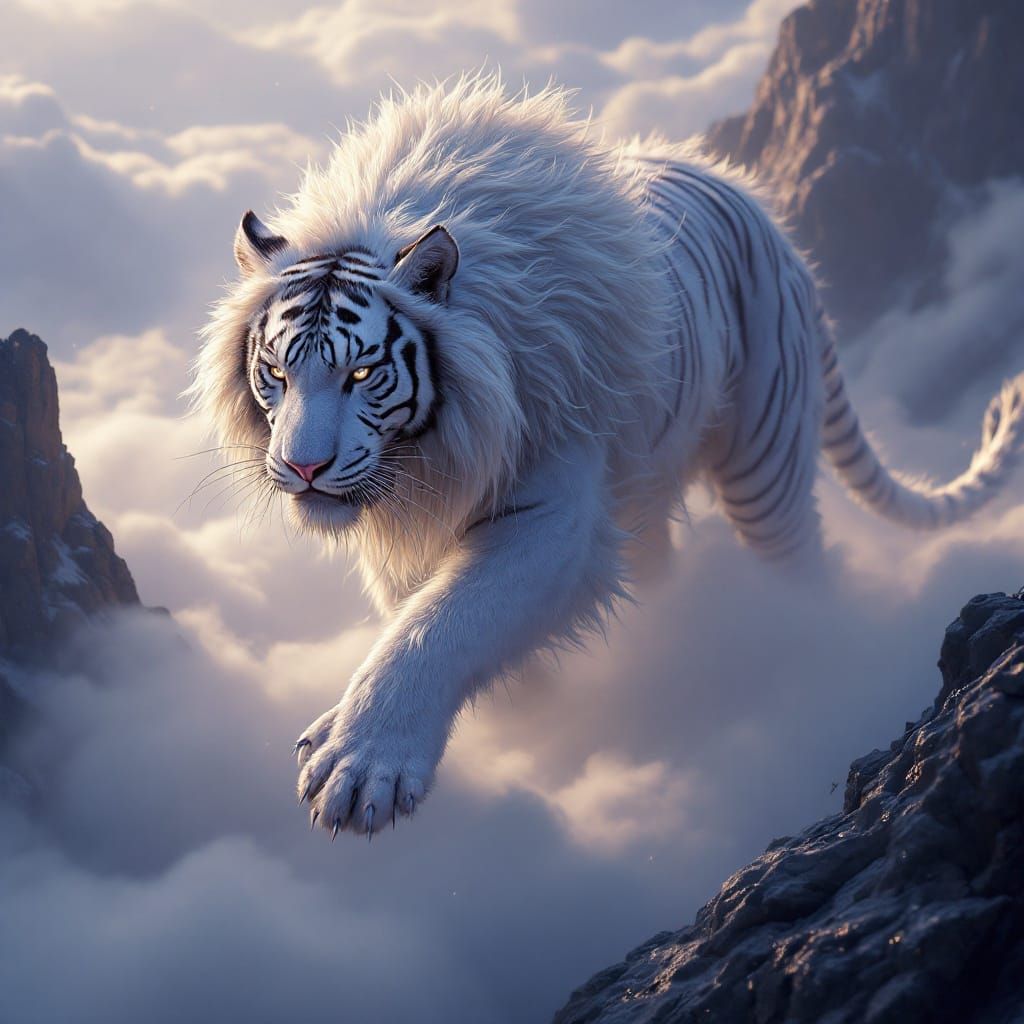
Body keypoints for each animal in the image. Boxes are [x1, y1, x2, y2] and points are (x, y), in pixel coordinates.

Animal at [191, 75, 1024, 839]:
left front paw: (362, 761)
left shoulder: (551, 509)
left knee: (800, 569)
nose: (303, 469)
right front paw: (535, 728)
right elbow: (446, 626)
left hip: (766, 461)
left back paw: (818, 648)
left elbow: (444, 624)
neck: (432, 458)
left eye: (362, 374)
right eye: (276, 371)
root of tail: (758, 203)